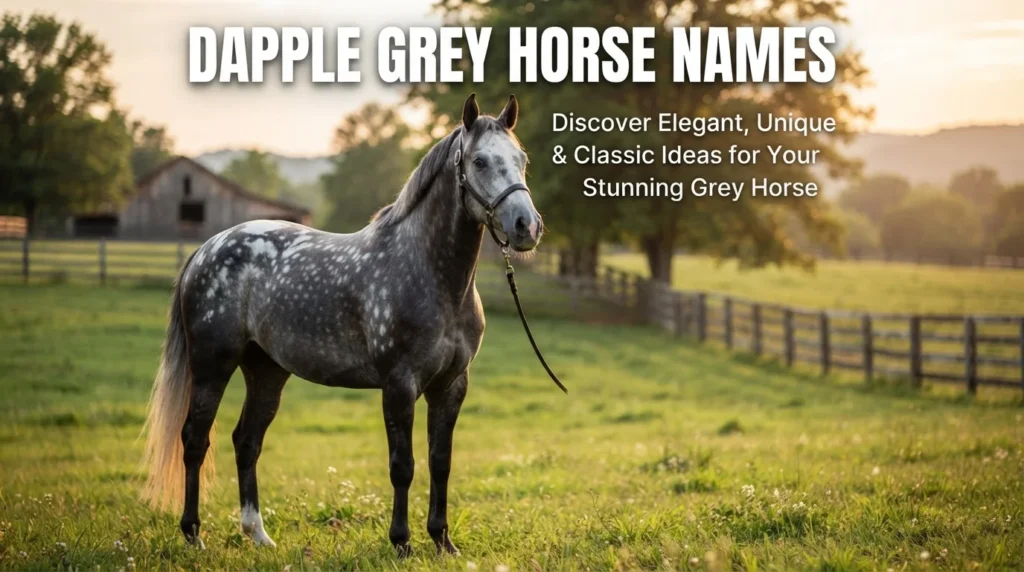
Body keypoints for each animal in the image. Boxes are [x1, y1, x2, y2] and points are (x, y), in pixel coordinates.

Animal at [141, 93, 543, 557]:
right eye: (479, 161)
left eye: (522, 159)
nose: (527, 226)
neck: (430, 273)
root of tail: (206, 249)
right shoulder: (399, 384)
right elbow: (403, 466)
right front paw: (401, 543)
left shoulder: (452, 385)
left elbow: (440, 462)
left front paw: (443, 542)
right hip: (212, 368)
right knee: (194, 440)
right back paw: (193, 534)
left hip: (266, 371)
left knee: (246, 441)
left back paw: (258, 534)